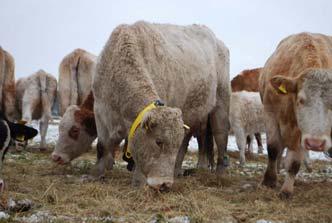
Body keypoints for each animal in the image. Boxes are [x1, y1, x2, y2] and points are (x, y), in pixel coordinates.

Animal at [92, 21, 230, 190]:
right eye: (158, 141)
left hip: (221, 103)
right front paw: (96, 174)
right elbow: (102, 147)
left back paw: (219, 174)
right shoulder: (100, 111)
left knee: (220, 135)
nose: (165, 184)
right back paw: (177, 170)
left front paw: (139, 183)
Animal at [260, 32, 332, 198]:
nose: (316, 143)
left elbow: (294, 162)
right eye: (300, 100)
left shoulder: (300, 133)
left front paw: (286, 190)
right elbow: (273, 148)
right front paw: (269, 180)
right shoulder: (269, 113)